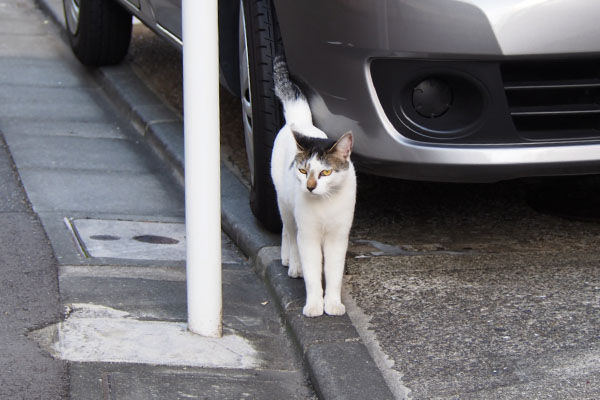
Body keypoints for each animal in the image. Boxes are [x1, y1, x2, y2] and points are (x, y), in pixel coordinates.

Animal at [270, 57, 354, 318]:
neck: (326, 202)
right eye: (303, 171)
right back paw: (292, 264)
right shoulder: (308, 235)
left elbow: (334, 273)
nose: (309, 187)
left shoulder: (338, 237)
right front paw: (315, 305)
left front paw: (333, 304)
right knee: (289, 231)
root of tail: (300, 122)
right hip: (285, 204)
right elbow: (313, 273)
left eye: (325, 172)